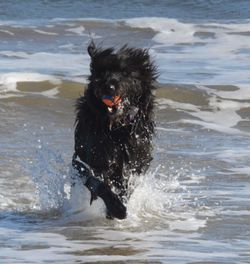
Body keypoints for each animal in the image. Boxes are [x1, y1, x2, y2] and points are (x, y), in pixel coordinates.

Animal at [72, 42, 156, 220]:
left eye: (125, 72)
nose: (108, 87)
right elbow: (99, 183)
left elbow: (127, 184)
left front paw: (118, 205)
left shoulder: (135, 160)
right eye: (102, 72)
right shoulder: (94, 158)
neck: (117, 128)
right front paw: (116, 208)